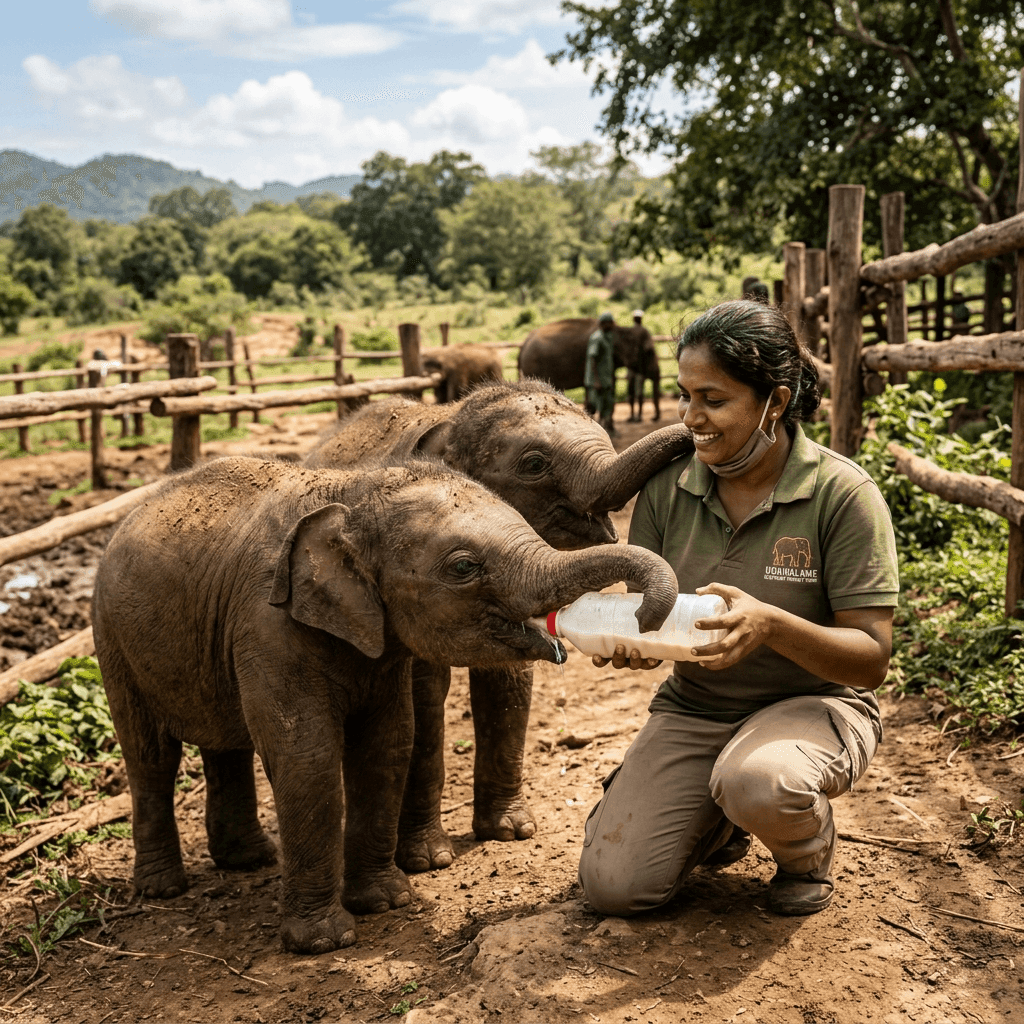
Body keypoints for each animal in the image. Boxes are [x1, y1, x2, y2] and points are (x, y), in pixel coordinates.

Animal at [92, 454, 679, 954]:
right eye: (462, 567)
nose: (641, 617)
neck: (351, 494)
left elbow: (388, 742)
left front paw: (386, 902)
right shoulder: (267, 624)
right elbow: (307, 758)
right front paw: (324, 942)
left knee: (224, 743)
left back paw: (250, 860)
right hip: (111, 640)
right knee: (150, 756)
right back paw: (163, 889)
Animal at [304, 379, 694, 872]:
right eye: (534, 464)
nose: (695, 436)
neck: (450, 418)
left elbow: (509, 681)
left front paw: (513, 831)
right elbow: (424, 696)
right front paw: (428, 859)